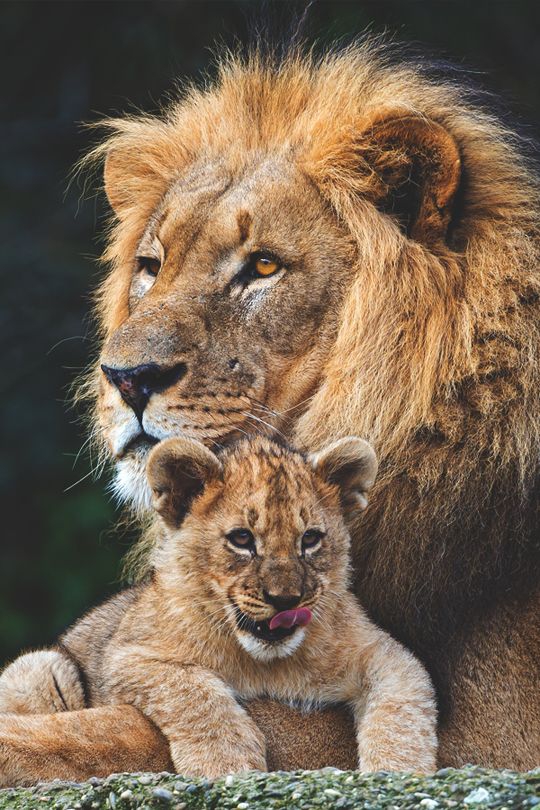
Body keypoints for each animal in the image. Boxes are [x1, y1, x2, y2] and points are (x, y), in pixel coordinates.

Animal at [0, 436, 438, 778]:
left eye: (311, 539)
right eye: (242, 539)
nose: (286, 600)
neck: (268, 664)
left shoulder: (383, 654)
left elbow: (403, 711)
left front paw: (400, 773)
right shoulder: (127, 655)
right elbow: (193, 690)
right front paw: (227, 762)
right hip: (43, 667)